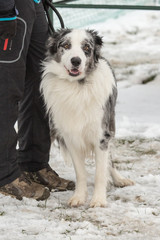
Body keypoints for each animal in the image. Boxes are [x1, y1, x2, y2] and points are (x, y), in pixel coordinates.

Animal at [40, 28, 134, 207]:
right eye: (66, 45)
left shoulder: (101, 135)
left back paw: (120, 179)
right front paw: (79, 197)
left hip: (110, 125)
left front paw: (98, 200)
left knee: (110, 159)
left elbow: (100, 172)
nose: (76, 61)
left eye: (86, 48)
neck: (78, 86)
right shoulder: (70, 136)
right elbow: (80, 173)